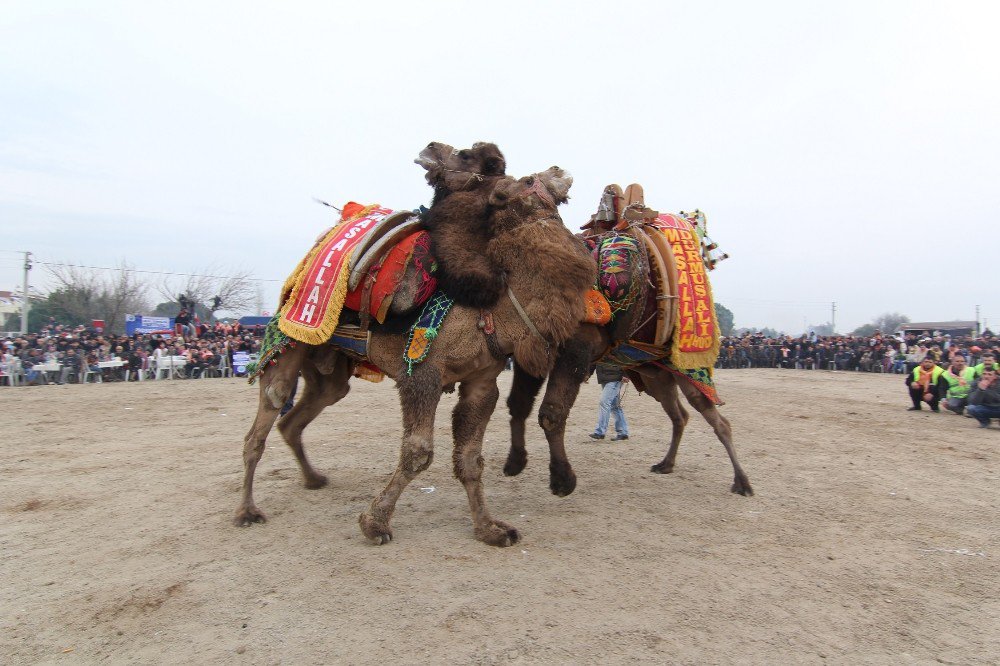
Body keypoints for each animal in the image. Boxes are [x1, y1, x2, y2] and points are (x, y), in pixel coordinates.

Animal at [233, 166, 592, 544]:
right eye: (526, 181)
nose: (558, 170)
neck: (495, 309)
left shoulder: (482, 383)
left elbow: (470, 459)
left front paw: (490, 528)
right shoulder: (422, 374)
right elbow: (418, 453)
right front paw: (374, 523)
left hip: (329, 369)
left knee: (297, 418)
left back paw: (314, 479)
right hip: (290, 336)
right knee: (263, 421)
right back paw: (247, 511)